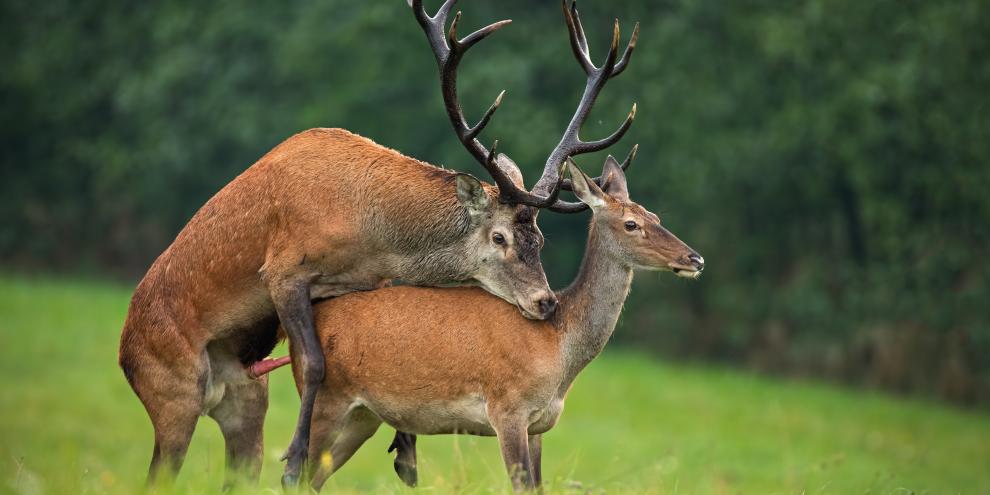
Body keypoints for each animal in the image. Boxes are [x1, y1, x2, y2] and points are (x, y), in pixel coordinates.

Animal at [118, 0, 638, 488]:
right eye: (500, 236)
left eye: (541, 238)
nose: (545, 301)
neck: (370, 232)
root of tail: (124, 351)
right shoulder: (283, 269)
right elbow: (315, 364)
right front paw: (294, 460)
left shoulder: (369, 283)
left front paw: (405, 451)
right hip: (171, 390)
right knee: (159, 468)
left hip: (245, 397)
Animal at [284, 157, 703, 492]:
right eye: (631, 224)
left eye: (656, 217)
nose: (694, 258)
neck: (559, 347)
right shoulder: (507, 409)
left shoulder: (538, 425)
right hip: (325, 402)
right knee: (296, 473)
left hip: (363, 416)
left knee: (314, 479)